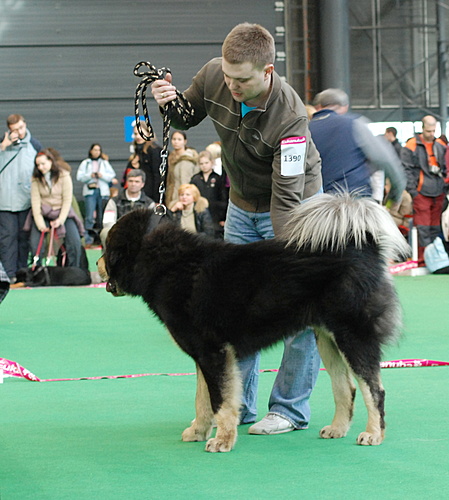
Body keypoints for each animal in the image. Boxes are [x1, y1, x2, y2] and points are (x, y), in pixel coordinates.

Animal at [98, 193, 410, 452]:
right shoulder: (204, 354)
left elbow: (220, 401)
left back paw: (373, 434)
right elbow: (202, 399)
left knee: (374, 390)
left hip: (353, 336)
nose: (99, 264)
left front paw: (222, 440)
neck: (167, 264)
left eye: (106, 246)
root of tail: (365, 247)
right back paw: (337, 429)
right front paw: (198, 431)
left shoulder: (213, 352)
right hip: (327, 339)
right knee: (347, 387)